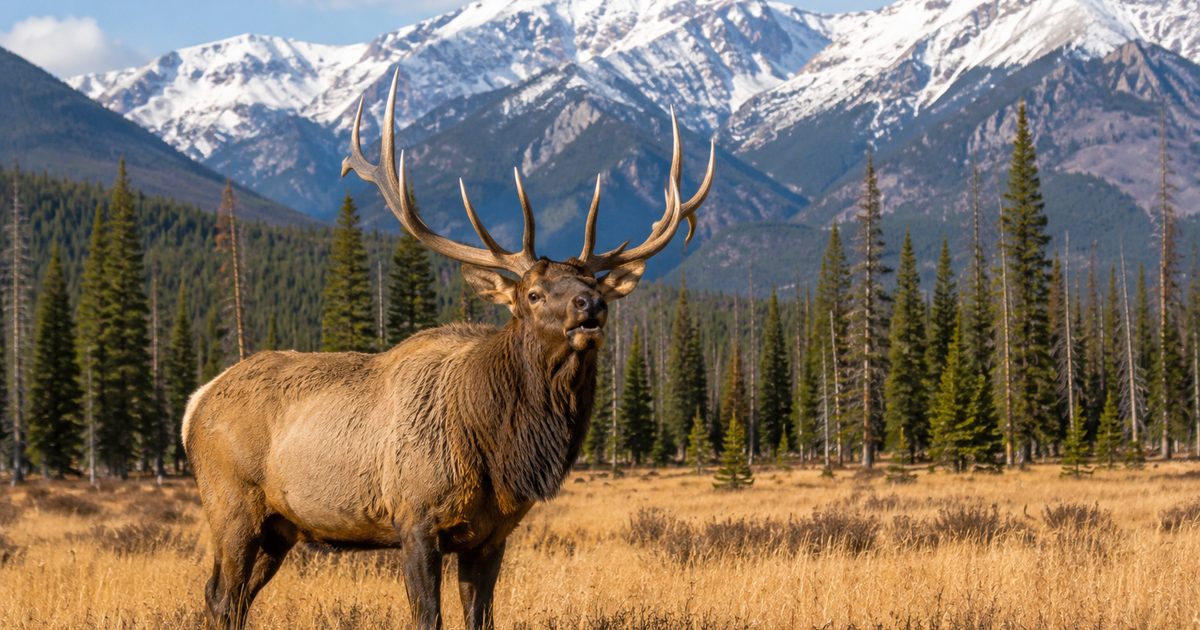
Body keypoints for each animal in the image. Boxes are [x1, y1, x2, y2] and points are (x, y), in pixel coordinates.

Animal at [182, 68, 713, 630]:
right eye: (533, 294)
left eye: (593, 282)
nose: (590, 305)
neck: (499, 449)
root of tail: (195, 403)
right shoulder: (416, 519)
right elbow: (427, 617)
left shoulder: (491, 535)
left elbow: (481, 618)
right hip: (231, 503)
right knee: (220, 593)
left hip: (280, 526)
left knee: (234, 598)